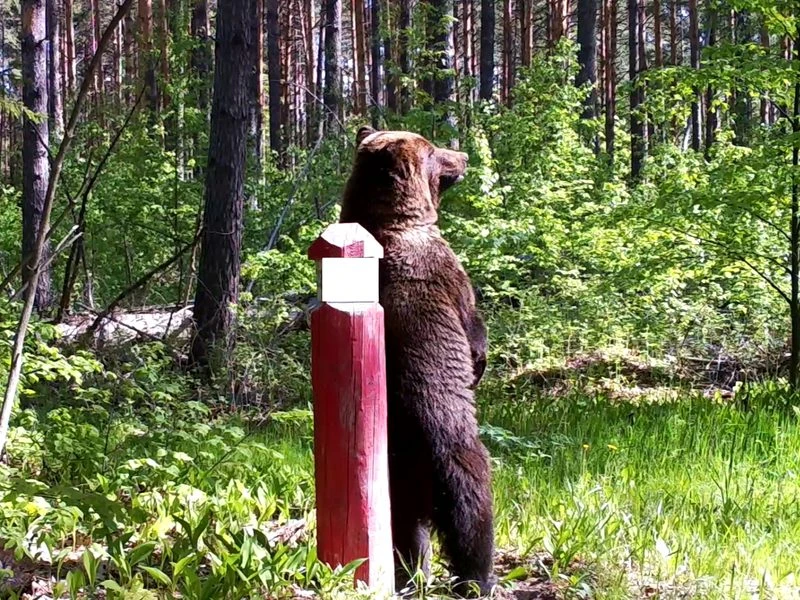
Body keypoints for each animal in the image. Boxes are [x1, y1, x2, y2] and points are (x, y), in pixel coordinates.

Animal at [339, 126, 495, 596]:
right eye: (434, 148)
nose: (463, 155)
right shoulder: (446, 273)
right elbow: (471, 322)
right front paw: (479, 361)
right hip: (452, 454)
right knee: (472, 509)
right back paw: (478, 578)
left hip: (395, 482)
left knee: (406, 533)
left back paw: (412, 576)